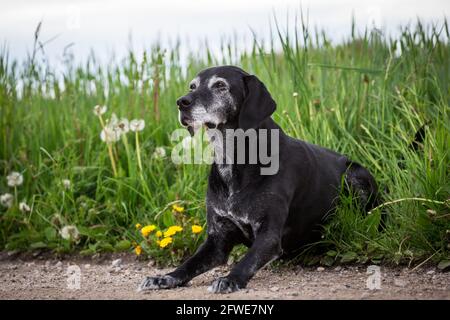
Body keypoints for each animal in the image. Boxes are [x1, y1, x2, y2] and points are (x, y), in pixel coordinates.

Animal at [139, 66, 378, 294]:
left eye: (220, 86)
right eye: (192, 86)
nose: (181, 102)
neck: (233, 160)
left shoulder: (269, 236)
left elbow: (247, 260)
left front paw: (230, 279)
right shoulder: (217, 241)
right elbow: (188, 264)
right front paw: (164, 277)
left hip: (356, 174)